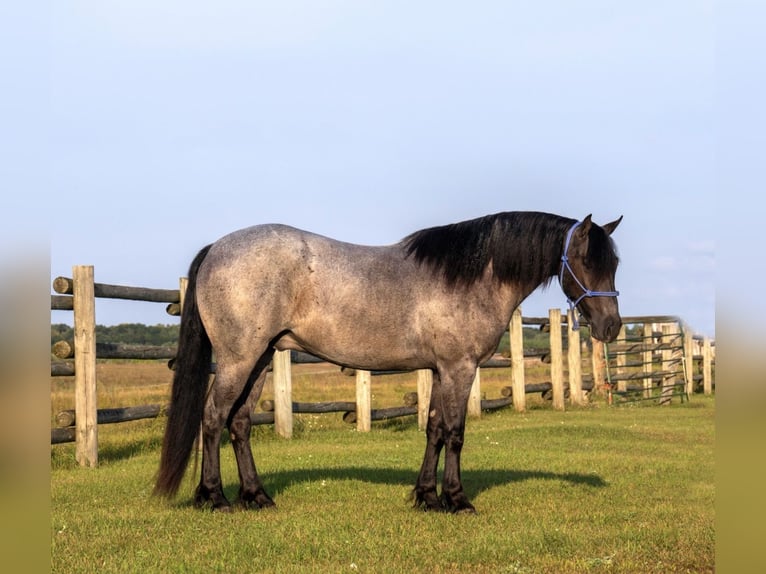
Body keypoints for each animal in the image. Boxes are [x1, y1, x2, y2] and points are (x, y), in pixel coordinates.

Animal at [154, 211, 622, 513]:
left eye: (614, 262)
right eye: (585, 260)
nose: (611, 326)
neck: (473, 276)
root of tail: (218, 247)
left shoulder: (440, 370)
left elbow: (434, 429)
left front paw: (427, 497)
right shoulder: (460, 368)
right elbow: (455, 433)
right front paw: (457, 500)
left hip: (261, 359)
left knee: (239, 423)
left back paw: (257, 497)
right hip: (239, 360)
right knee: (213, 418)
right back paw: (214, 498)